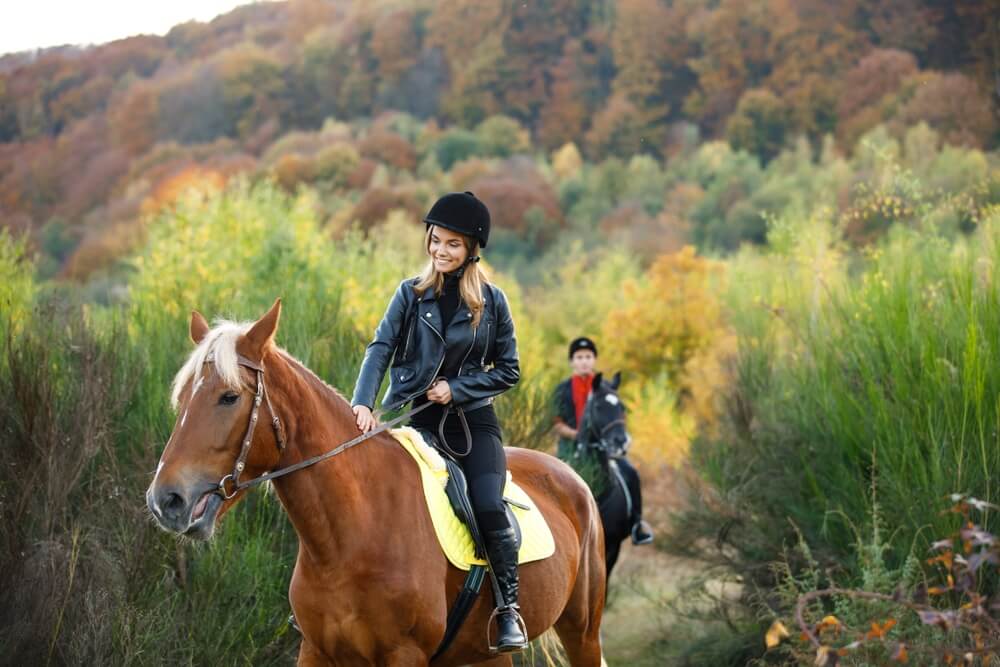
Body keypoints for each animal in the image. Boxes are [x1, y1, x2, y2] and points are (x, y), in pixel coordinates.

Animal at [145, 302, 604, 667]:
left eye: (229, 397)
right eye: (182, 398)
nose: (166, 500)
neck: (349, 538)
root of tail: (571, 478)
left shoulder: (403, 655)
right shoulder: (316, 651)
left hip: (582, 632)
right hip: (484, 657)